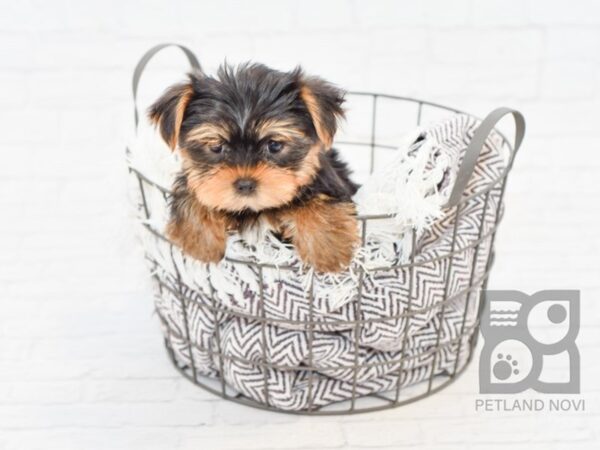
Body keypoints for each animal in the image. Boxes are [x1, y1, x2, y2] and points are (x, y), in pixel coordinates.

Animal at [148, 63, 358, 272]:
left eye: (274, 145)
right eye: (216, 147)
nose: (245, 184)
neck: (253, 209)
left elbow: (319, 202)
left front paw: (329, 249)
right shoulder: (197, 181)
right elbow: (194, 196)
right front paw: (201, 245)